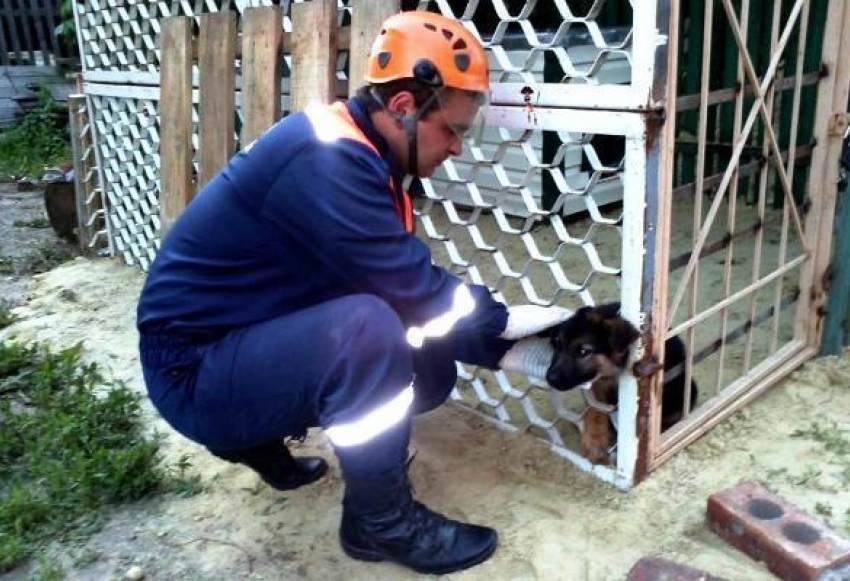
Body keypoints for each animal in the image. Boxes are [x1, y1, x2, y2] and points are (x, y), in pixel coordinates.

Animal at [544, 304, 696, 462]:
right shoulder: (598, 386)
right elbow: (594, 410)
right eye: (558, 345)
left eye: (584, 351)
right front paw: (594, 439)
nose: (550, 379)